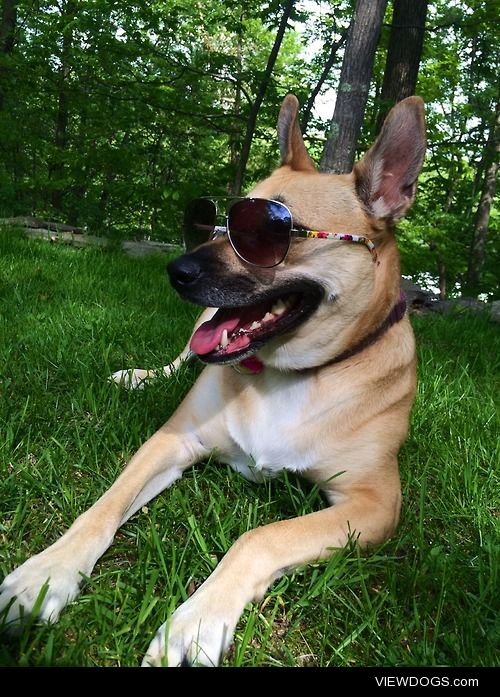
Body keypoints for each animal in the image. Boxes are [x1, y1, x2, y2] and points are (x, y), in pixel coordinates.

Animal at [1, 95, 428, 668]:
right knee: (180, 358)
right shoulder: (172, 441)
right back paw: (139, 376)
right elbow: (103, 506)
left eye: (265, 233)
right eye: (220, 222)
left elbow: (261, 537)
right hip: (199, 325)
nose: (176, 270)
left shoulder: (373, 503)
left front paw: (197, 621)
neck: (288, 373)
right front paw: (44, 575)